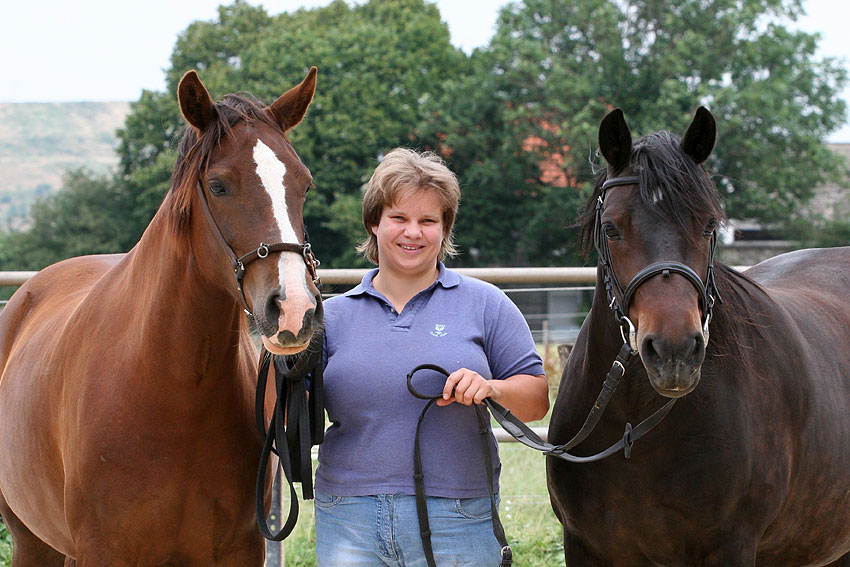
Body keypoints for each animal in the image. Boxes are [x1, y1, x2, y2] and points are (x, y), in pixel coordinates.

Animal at [0, 69, 322, 564]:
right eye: (218, 185)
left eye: (303, 185)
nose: (293, 309)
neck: (174, 391)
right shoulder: (103, 550)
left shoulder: (239, 550)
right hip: (32, 542)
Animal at [548, 107, 848, 567]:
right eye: (612, 229)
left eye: (709, 226)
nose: (674, 352)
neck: (633, 426)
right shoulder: (582, 546)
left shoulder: (730, 546)